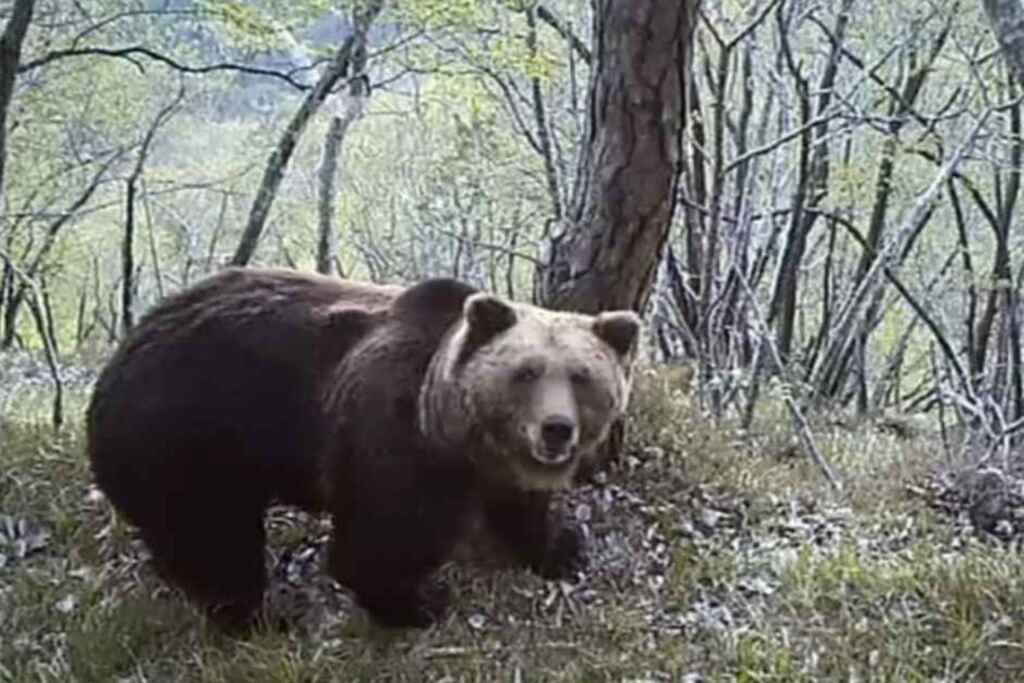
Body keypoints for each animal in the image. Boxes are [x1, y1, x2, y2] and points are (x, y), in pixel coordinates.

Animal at [320, 278, 642, 628]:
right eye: (527, 372)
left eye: (581, 376)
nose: (557, 428)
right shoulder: (387, 440)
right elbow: (375, 543)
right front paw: (414, 606)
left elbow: (523, 512)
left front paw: (563, 549)